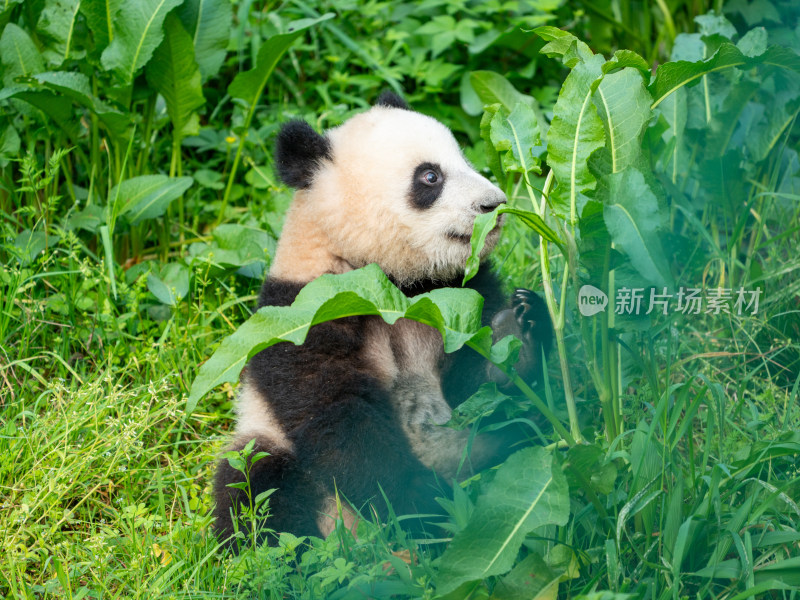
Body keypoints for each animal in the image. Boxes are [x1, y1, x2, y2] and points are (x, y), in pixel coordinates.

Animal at [211, 91, 552, 548]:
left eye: (464, 159)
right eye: (430, 177)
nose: (494, 204)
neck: (395, 285)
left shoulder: (459, 292)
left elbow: (474, 391)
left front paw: (515, 333)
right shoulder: (306, 314)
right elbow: (340, 422)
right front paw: (417, 505)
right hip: (267, 443)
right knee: (256, 487)